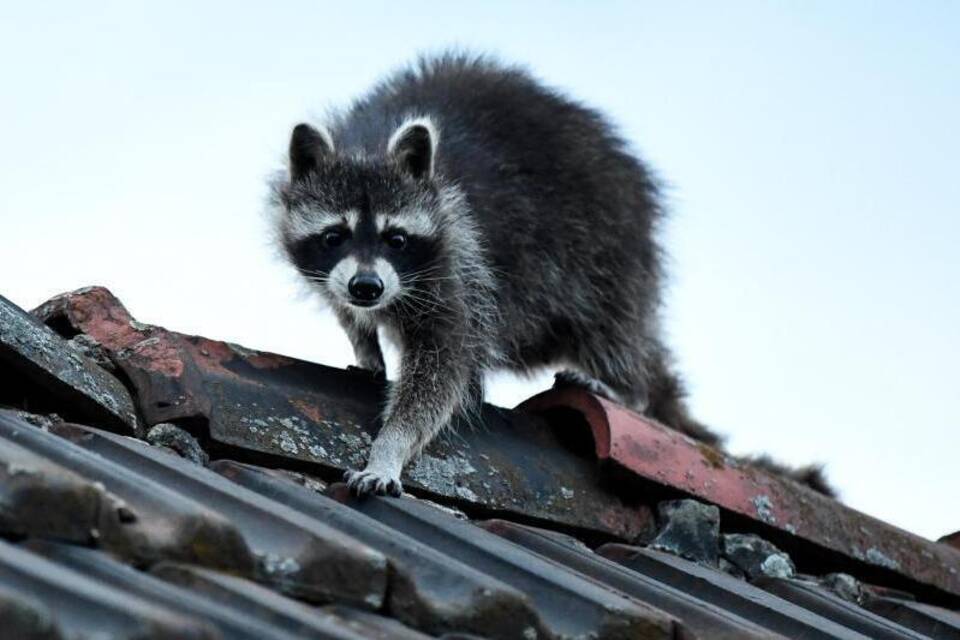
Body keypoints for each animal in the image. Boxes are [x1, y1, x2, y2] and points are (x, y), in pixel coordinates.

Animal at [270, 52, 832, 498]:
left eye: (397, 239)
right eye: (335, 236)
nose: (368, 287)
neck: (367, 144)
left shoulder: (459, 262)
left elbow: (441, 372)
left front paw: (390, 447)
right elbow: (353, 314)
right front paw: (365, 343)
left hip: (611, 246)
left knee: (613, 325)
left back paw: (628, 387)